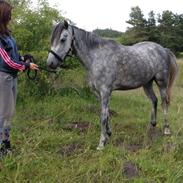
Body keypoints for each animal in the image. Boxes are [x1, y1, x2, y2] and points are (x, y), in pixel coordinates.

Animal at [46, 20, 178, 150]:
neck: (97, 57)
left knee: (164, 103)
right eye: (52, 39)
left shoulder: (105, 91)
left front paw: (101, 143)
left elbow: (103, 117)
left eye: (63, 39)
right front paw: (108, 134)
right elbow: (107, 114)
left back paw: (166, 129)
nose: (50, 63)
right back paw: (151, 126)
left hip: (162, 83)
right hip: (147, 84)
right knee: (154, 100)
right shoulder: (99, 93)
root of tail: (163, 49)